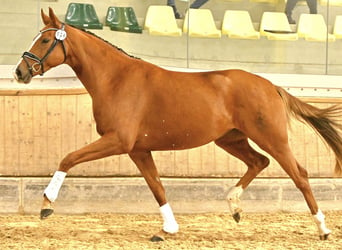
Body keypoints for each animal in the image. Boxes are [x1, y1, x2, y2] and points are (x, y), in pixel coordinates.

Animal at [14, 8, 342, 241]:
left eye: (45, 40)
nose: (19, 71)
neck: (116, 79)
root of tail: (271, 85)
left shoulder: (118, 140)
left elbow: (68, 158)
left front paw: (46, 204)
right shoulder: (138, 150)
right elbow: (157, 186)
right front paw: (167, 229)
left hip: (272, 138)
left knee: (299, 174)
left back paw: (323, 229)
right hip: (231, 139)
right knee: (259, 162)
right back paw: (234, 206)